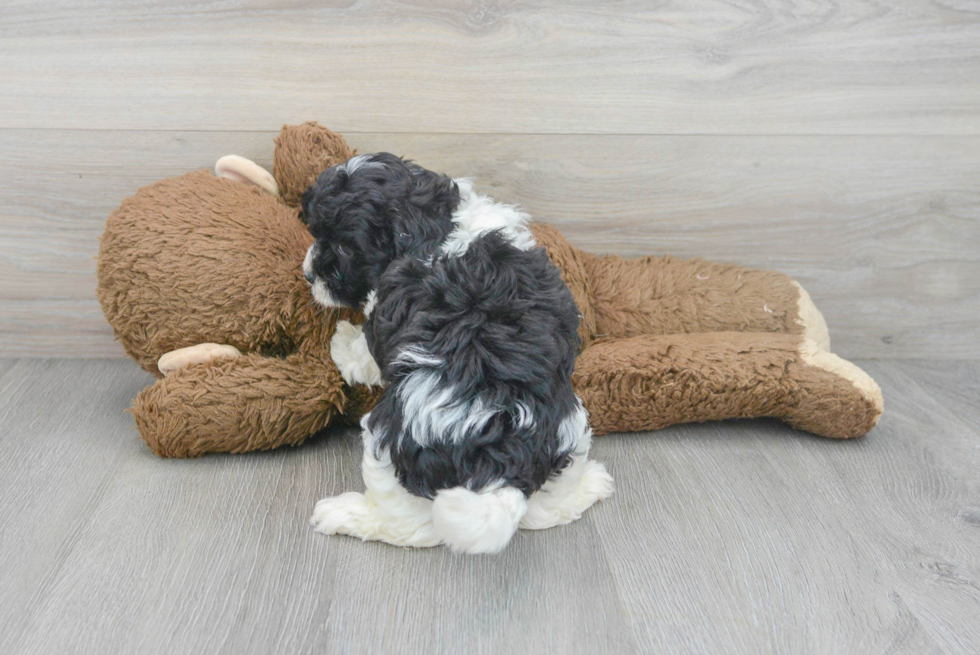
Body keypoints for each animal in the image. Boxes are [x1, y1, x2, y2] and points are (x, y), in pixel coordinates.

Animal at [306, 152, 612, 552]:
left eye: (343, 247)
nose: (309, 275)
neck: (438, 224)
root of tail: (494, 458)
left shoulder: (384, 314)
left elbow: (366, 355)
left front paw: (343, 345)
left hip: (387, 442)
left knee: (408, 525)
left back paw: (345, 513)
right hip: (569, 426)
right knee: (546, 509)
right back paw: (591, 484)